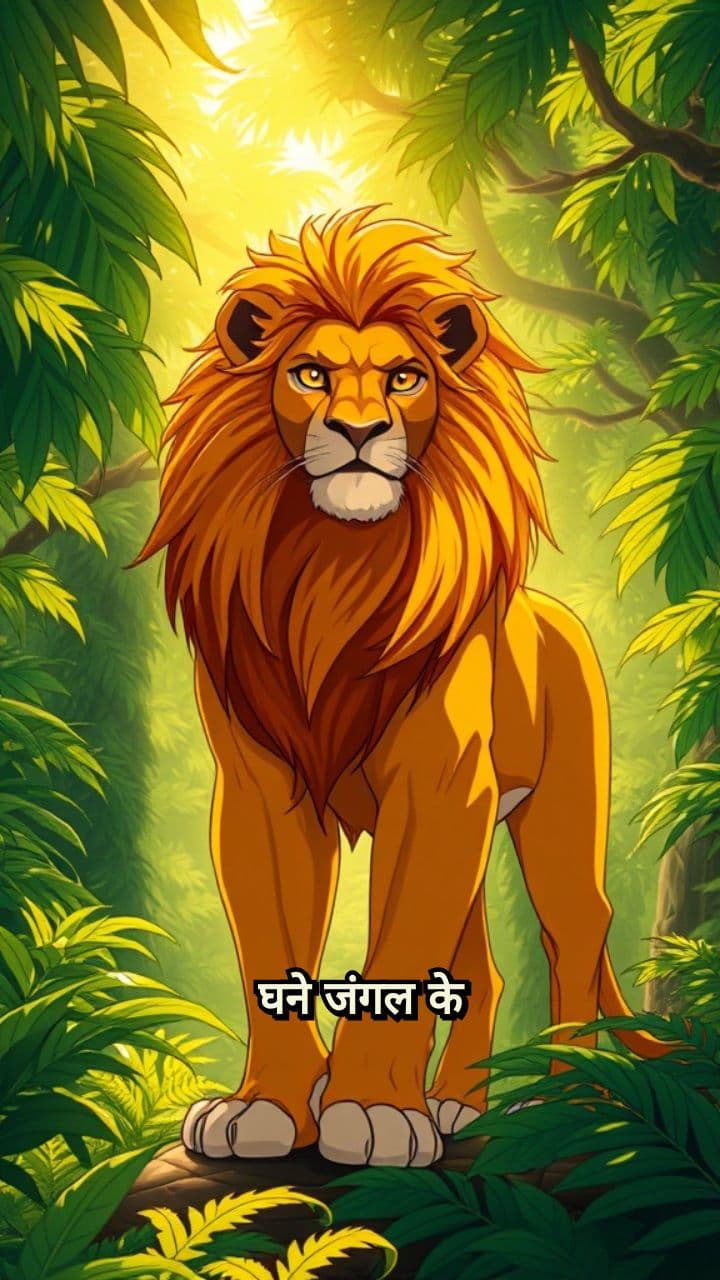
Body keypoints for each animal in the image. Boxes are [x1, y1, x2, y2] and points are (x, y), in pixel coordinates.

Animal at [139, 207, 666, 1169]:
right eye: (311, 373)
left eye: (405, 377)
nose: (357, 431)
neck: (333, 570)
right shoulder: (262, 790)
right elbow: (271, 944)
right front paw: (265, 1108)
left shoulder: (439, 784)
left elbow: (402, 954)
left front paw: (373, 1113)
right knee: (485, 967)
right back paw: (462, 1103)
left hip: (560, 810)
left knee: (578, 926)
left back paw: (561, 1095)